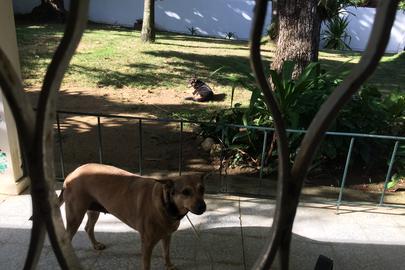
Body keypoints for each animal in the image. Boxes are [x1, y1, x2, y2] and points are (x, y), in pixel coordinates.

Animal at [59, 163, 205, 270]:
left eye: (202, 189)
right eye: (186, 192)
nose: (202, 207)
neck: (165, 202)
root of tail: (71, 173)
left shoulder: (167, 235)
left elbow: (166, 252)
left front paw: (168, 265)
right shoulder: (147, 243)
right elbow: (146, 265)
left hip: (93, 210)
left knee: (88, 228)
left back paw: (96, 245)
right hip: (75, 215)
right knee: (68, 237)